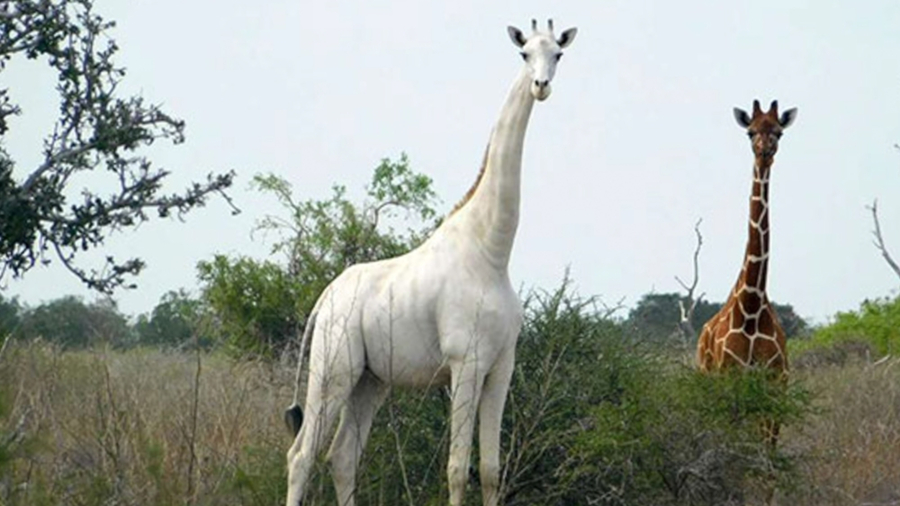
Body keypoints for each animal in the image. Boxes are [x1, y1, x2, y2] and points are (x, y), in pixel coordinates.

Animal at [283, 20, 577, 506]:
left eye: (558, 54)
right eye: (524, 54)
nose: (541, 86)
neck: (491, 252)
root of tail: (324, 298)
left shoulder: (502, 366)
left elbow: (491, 469)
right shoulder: (465, 362)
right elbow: (457, 468)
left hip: (371, 380)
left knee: (342, 456)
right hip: (333, 369)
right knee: (301, 455)